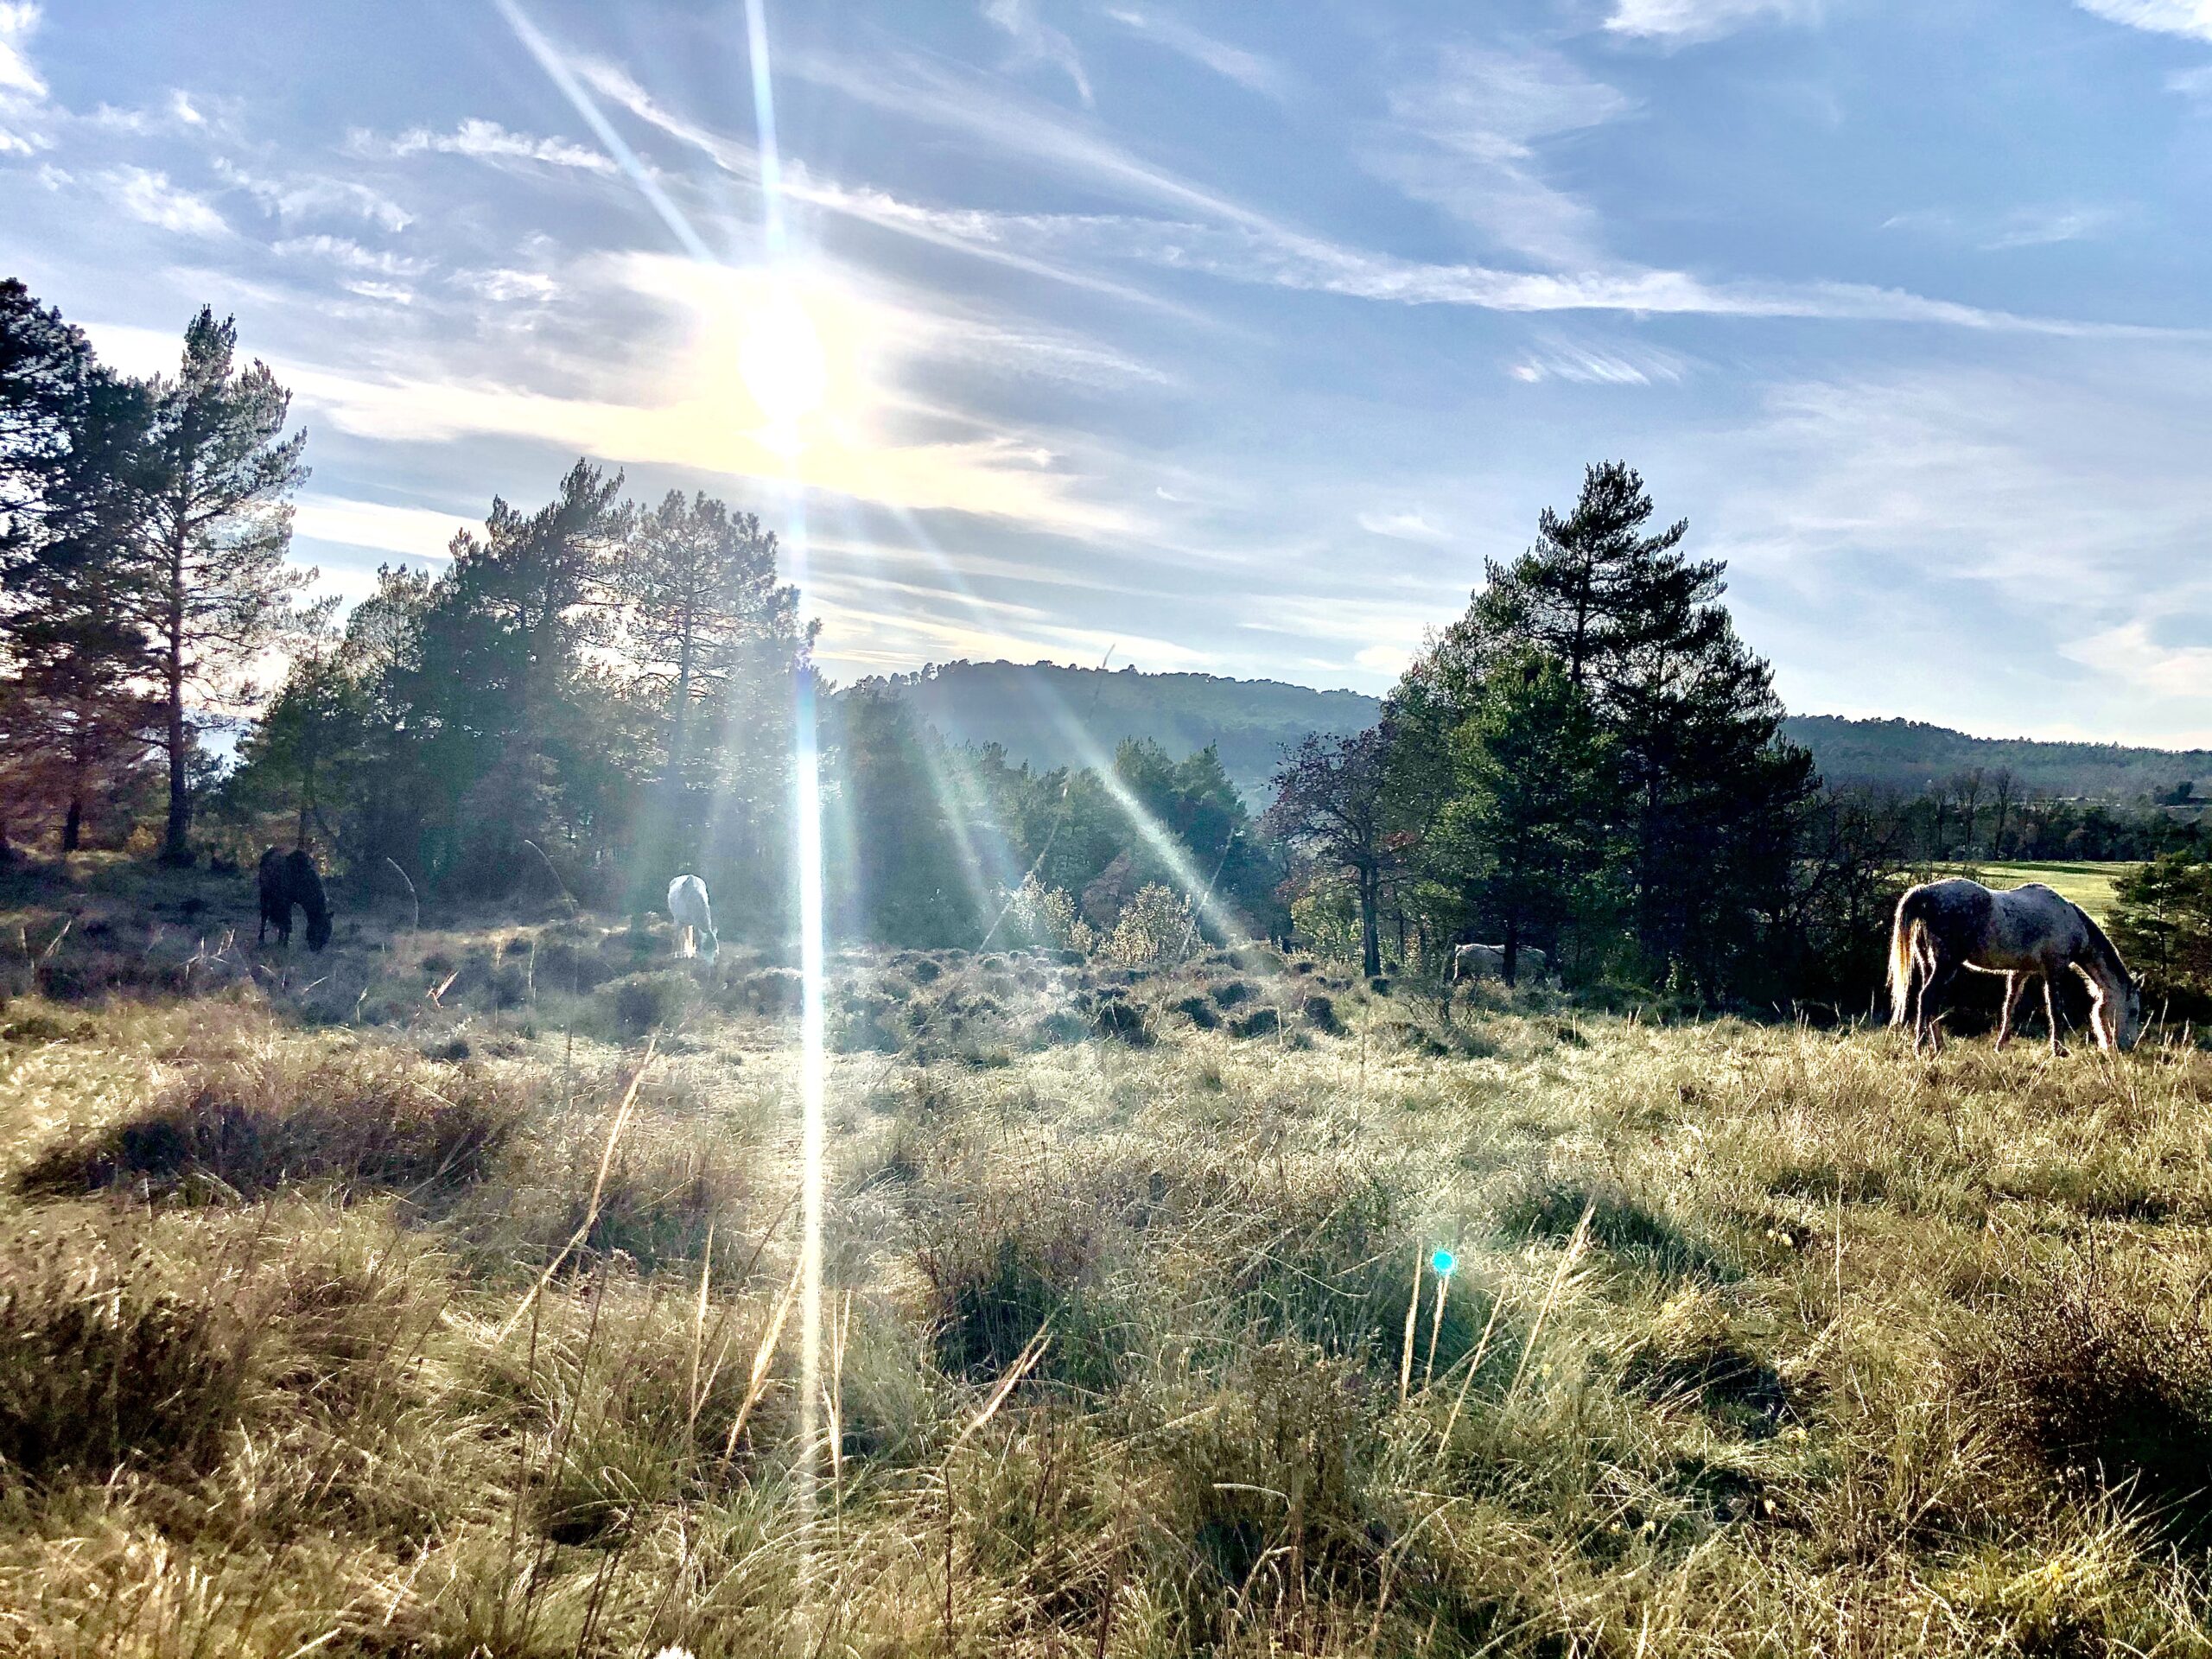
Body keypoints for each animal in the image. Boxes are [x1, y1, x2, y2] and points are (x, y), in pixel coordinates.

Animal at [1885, 875, 2141, 1057]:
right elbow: (2055, 1009)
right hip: (1946, 964)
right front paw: (2059, 1050)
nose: (2126, 1047)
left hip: (1930, 964)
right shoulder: (2054, 969)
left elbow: (2009, 1008)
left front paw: (2001, 1045)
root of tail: (1926, 893)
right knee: (1926, 997)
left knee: (1933, 1003)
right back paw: (1920, 1047)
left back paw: (1940, 1047)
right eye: (2134, 1011)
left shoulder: (2020, 972)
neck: (2071, 920)